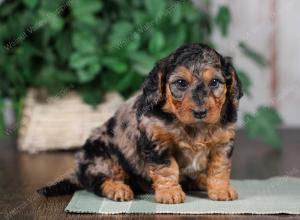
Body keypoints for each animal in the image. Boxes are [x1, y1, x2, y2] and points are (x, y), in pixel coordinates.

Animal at [38, 43, 244, 204]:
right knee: (98, 181)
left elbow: (219, 167)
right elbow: (167, 168)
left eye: (215, 82)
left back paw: (201, 180)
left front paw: (220, 189)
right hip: (101, 158)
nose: (200, 112)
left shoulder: (223, 143)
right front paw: (169, 192)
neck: (193, 127)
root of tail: (78, 171)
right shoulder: (157, 142)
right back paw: (118, 189)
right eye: (181, 83)